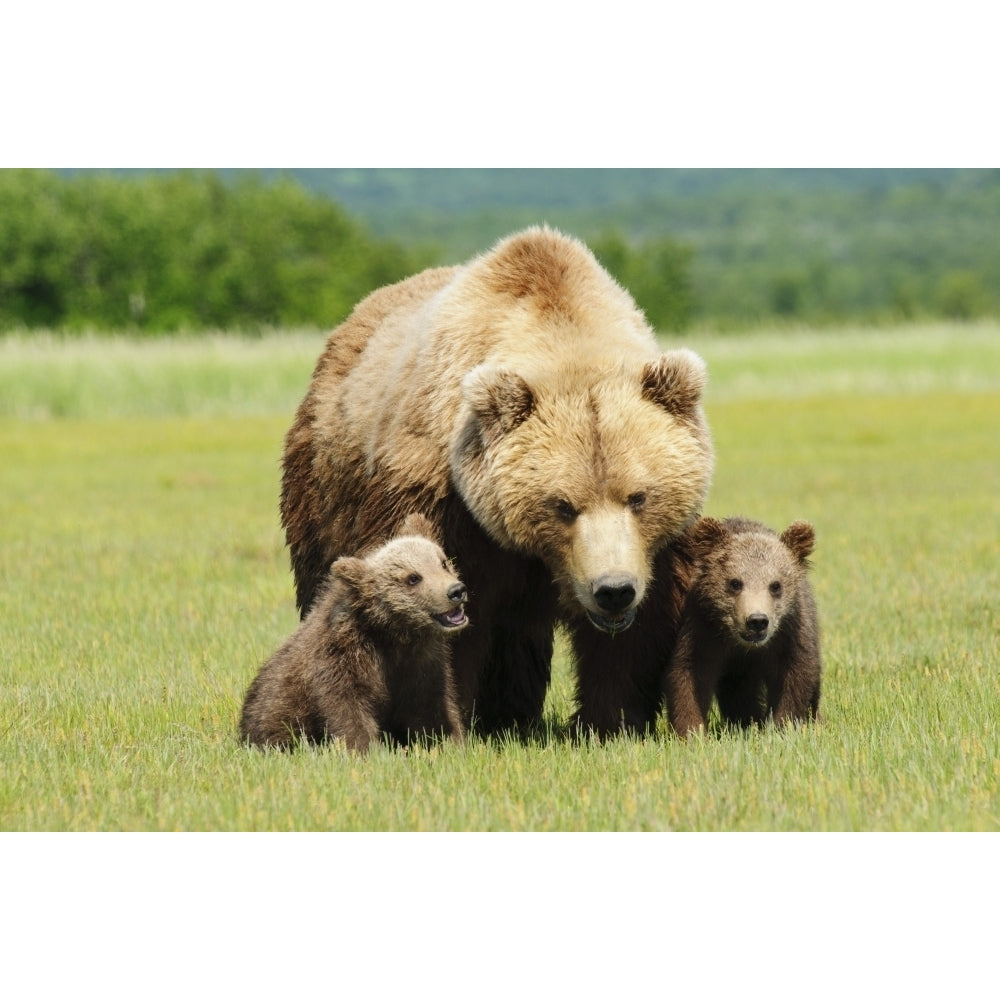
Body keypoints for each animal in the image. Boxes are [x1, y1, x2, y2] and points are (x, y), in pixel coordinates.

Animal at [238, 516, 468, 752]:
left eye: (443, 562)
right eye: (413, 578)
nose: (455, 591)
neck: (394, 633)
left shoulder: (422, 664)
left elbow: (431, 707)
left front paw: (449, 741)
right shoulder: (344, 656)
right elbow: (348, 706)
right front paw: (366, 748)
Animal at [280, 230, 712, 740]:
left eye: (639, 496)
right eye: (562, 504)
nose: (613, 589)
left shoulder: (653, 550)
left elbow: (634, 636)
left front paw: (612, 721)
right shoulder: (444, 503)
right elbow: (442, 611)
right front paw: (446, 722)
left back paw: (511, 716)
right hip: (322, 485)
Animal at [664, 516, 820, 736]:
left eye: (776, 585)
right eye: (735, 583)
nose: (757, 621)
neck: (743, 646)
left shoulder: (789, 632)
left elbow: (795, 674)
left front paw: (781, 726)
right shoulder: (703, 628)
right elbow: (689, 673)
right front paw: (691, 731)